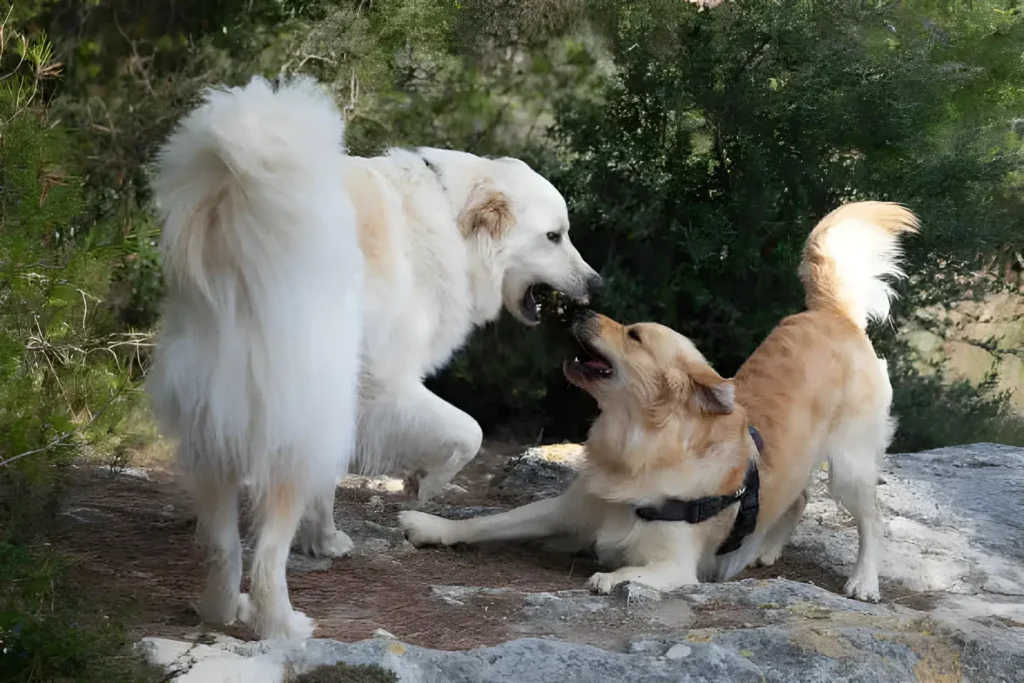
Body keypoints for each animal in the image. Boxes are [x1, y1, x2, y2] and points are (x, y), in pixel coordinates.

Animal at [147, 76, 364, 643]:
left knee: (224, 548)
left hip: (208, 452)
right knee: (267, 559)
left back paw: (219, 610)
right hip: (288, 456)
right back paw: (283, 625)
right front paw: (329, 542)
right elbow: (325, 502)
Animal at [395, 200, 917, 602]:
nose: (579, 309)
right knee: (799, 496)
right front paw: (432, 526)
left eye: (634, 335)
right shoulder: (566, 508)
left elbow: (631, 571)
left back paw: (863, 581)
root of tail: (831, 314)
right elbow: (492, 521)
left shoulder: (676, 565)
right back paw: (766, 549)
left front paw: (610, 577)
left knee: (872, 519)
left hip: (850, 464)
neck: (635, 445)